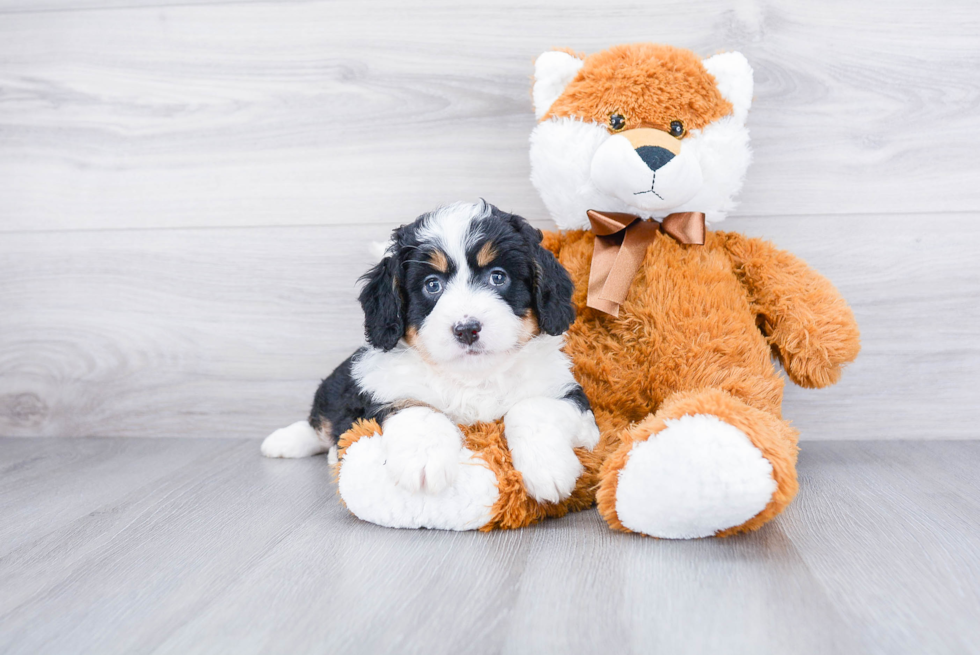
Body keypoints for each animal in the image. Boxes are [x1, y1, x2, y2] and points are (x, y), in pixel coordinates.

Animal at [262, 202, 596, 504]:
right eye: (432, 285)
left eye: (498, 277)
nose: (467, 329)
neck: (473, 378)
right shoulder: (384, 389)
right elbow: (418, 408)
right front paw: (425, 462)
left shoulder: (568, 397)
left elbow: (532, 407)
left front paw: (549, 467)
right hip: (337, 384)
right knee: (320, 421)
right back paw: (284, 442)